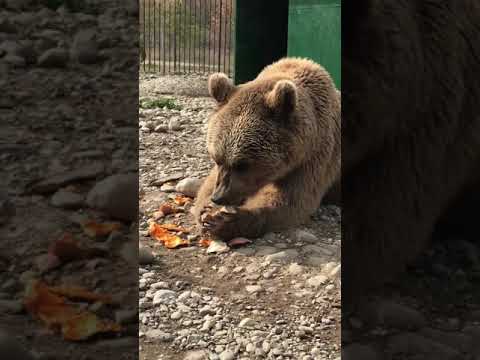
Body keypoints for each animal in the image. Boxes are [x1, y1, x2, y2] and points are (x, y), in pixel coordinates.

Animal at [192, 57, 342, 240]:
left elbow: (290, 200)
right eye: (216, 158)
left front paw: (223, 221)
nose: (219, 197)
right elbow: (207, 184)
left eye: (242, 165)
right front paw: (206, 210)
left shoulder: (315, 156)